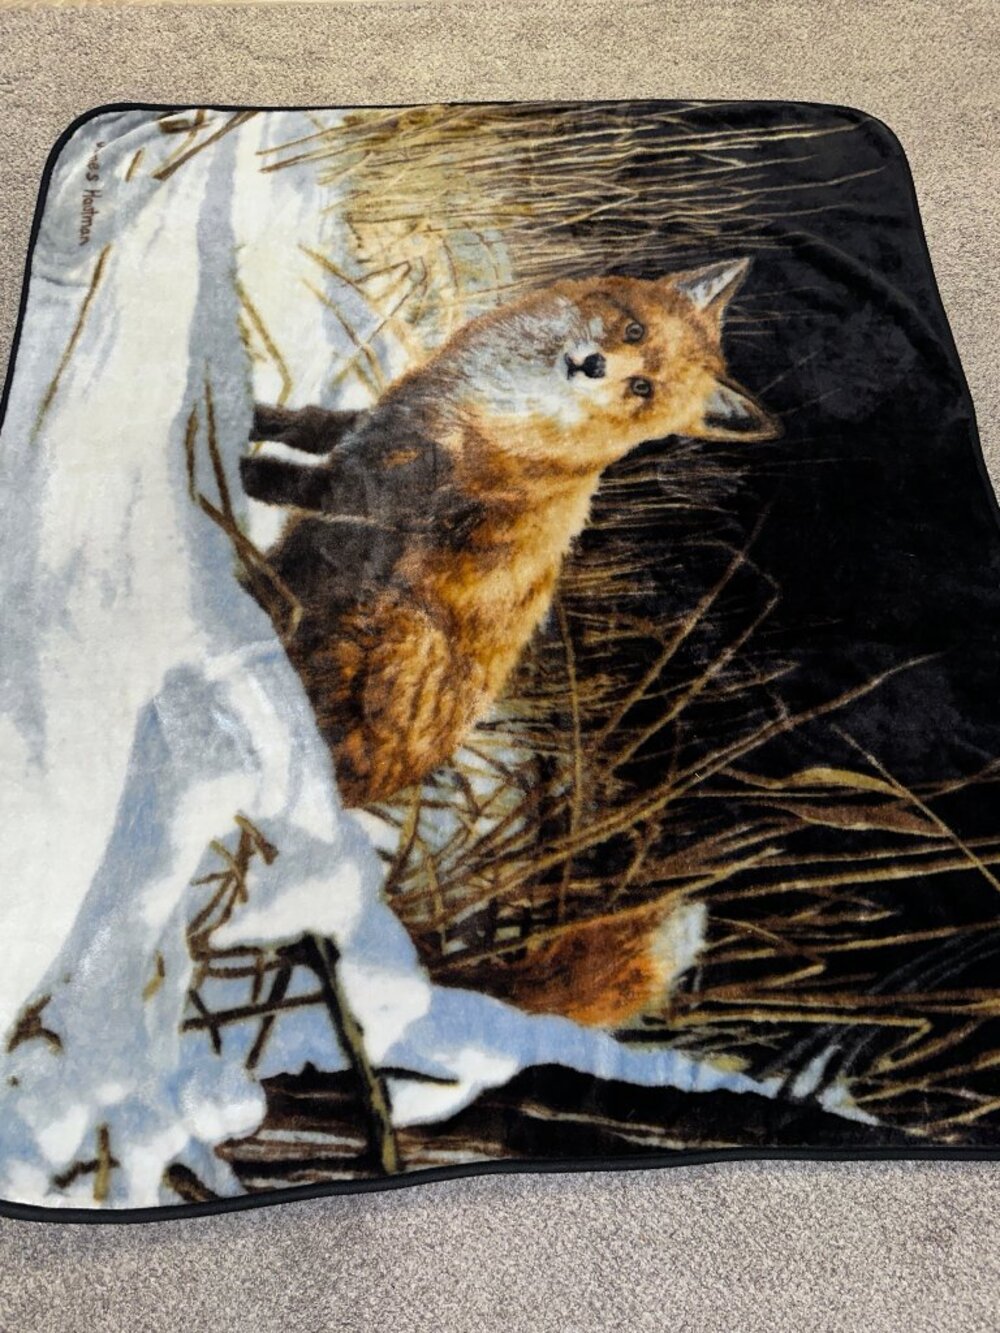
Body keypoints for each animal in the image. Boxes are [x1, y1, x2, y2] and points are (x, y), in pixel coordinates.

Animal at [240, 257, 780, 1026]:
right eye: (634, 332)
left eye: (643, 390)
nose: (593, 366)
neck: (495, 420)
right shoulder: (366, 431)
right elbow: (303, 423)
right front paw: (249, 414)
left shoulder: (368, 496)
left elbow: (286, 478)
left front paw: (225, 460)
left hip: (390, 630)